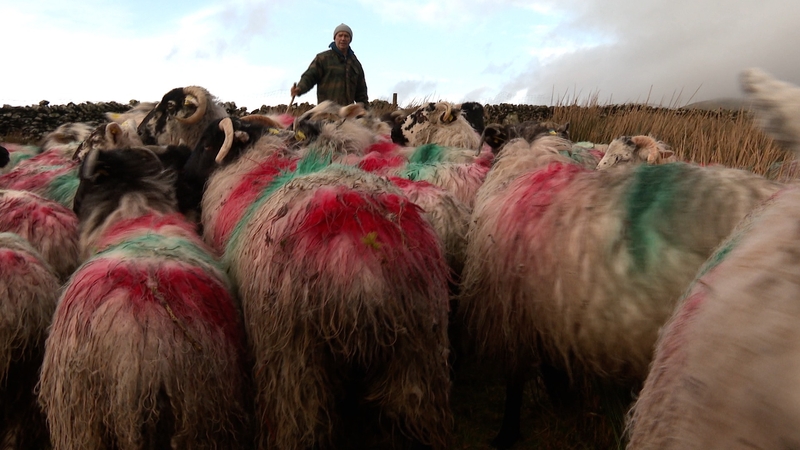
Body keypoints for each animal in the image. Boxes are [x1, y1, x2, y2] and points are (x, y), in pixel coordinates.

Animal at [38, 146, 251, 450]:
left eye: (82, 180)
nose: (74, 206)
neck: (135, 211)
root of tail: (142, 351)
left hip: (83, 423)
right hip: (202, 418)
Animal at [182, 119, 454, 450]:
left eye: (208, 144)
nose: (181, 177)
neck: (255, 168)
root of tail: (362, 272)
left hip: (294, 354)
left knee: (300, 422)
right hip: (418, 348)